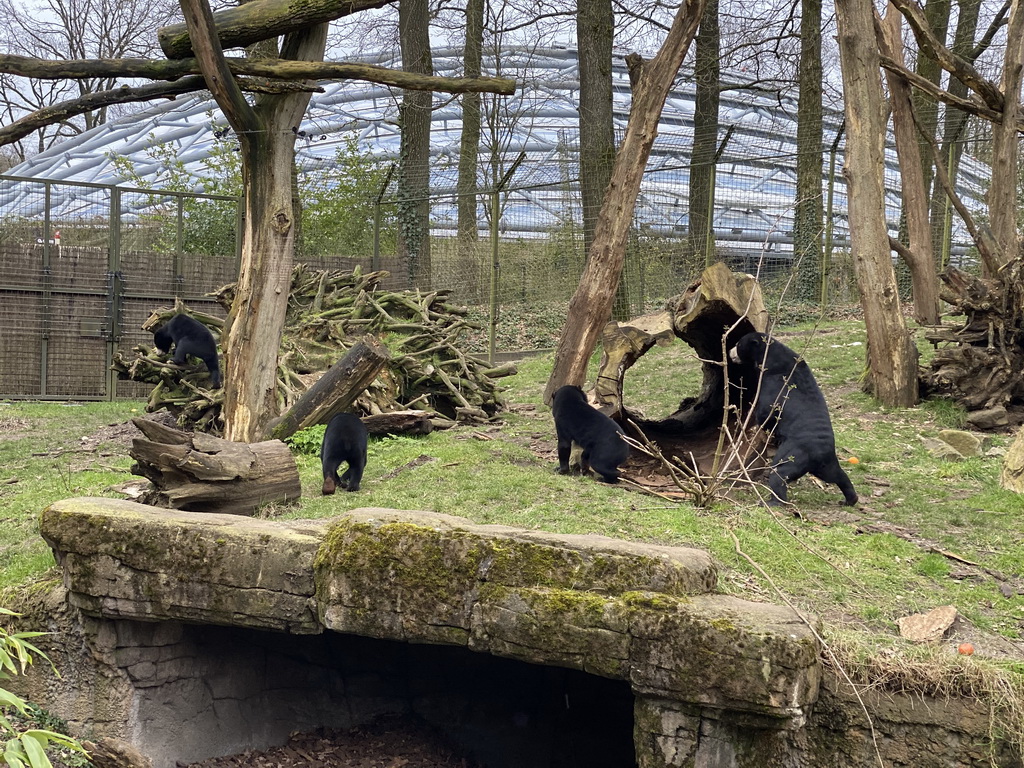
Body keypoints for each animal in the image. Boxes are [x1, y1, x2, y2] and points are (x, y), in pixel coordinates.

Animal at [724, 331, 860, 507]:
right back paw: (849, 499)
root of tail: (820, 453)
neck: (772, 355)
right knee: (838, 476)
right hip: (826, 465)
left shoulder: (773, 385)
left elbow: (766, 413)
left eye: (739, 344)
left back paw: (772, 502)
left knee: (779, 474)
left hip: (792, 454)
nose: (730, 352)